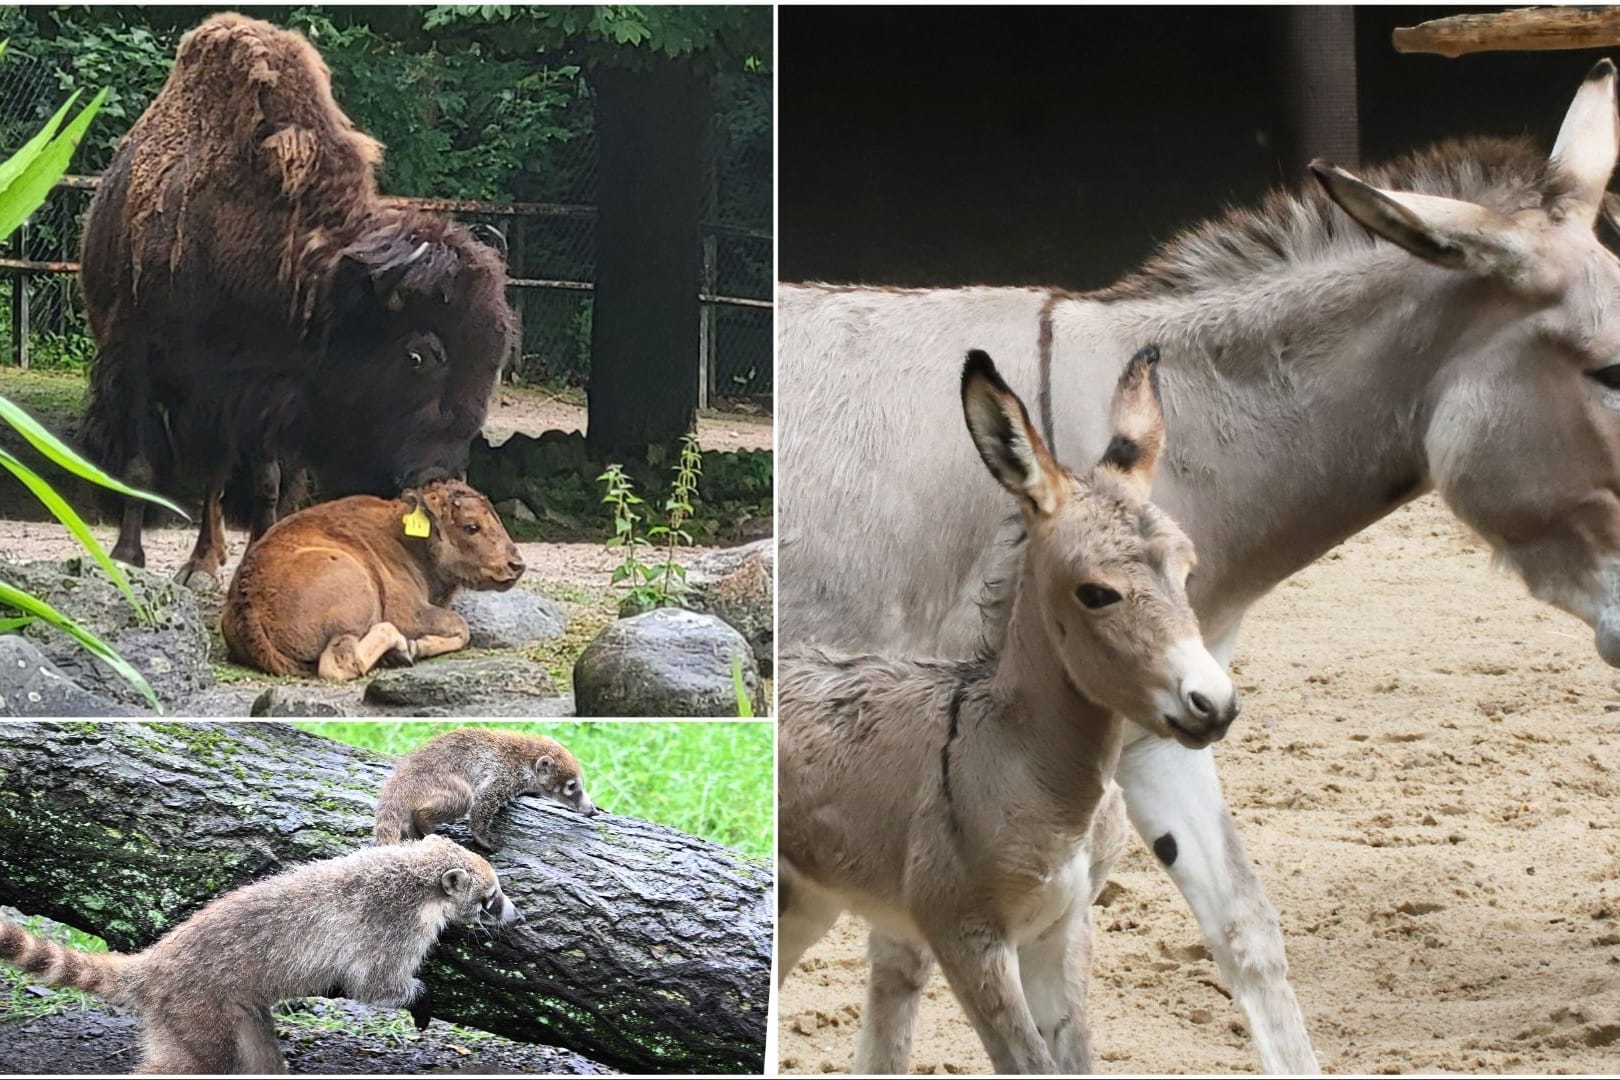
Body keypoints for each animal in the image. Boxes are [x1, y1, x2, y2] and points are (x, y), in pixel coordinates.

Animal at [78, 12, 511, 586]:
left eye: (493, 365)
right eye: (418, 354)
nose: (438, 476)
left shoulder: (266, 394)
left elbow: (263, 482)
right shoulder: (144, 359)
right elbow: (142, 465)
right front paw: (132, 557)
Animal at [221, 479, 521, 676]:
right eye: (472, 527)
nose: (516, 564)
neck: (409, 538)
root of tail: (248, 603)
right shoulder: (409, 612)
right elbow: (460, 625)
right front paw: (416, 646)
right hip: (355, 596)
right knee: (340, 663)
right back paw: (399, 650)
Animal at [777, 346, 1231, 1075]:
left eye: (1187, 571)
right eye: (1096, 592)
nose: (1213, 703)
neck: (1020, 763)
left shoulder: (1062, 928)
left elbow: (1074, 1062)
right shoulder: (967, 935)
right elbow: (1027, 1063)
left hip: (812, 900)